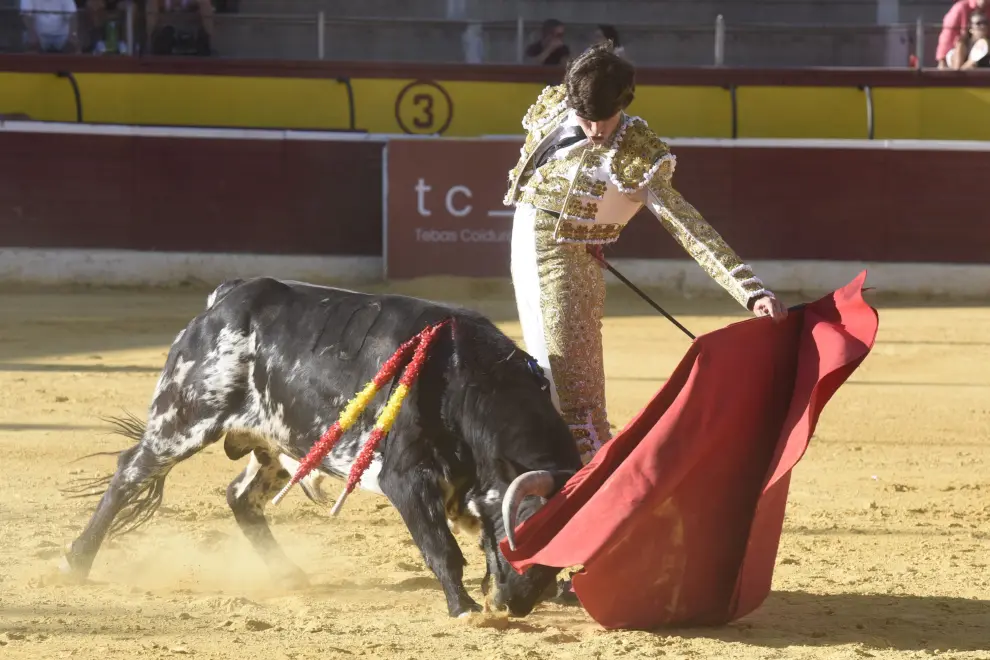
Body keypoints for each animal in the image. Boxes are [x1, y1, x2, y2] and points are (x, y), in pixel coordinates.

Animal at [58, 278, 584, 620]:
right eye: (528, 530)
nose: (515, 605)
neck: (466, 381)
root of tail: (226, 296)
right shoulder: (407, 478)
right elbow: (442, 548)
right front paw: (465, 609)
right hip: (184, 419)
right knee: (130, 473)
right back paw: (76, 561)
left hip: (275, 442)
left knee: (240, 497)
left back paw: (287, 574)